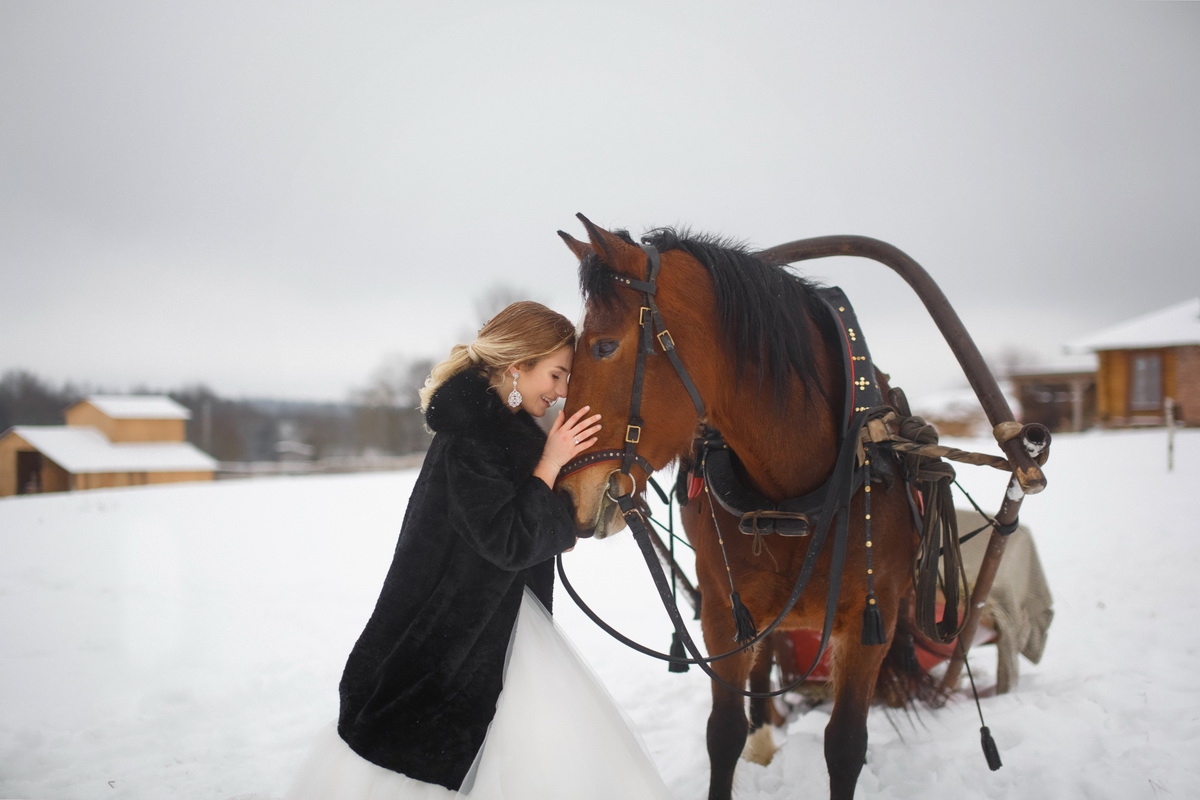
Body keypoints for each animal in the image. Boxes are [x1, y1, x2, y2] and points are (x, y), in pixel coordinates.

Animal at [556, 217, 921, 800]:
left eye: (604, 346)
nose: (569, 496)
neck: (791, 494)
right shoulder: (724, 612)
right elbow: (723, 731)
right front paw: (746, 736)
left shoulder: (874, 617)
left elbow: (845, 744)